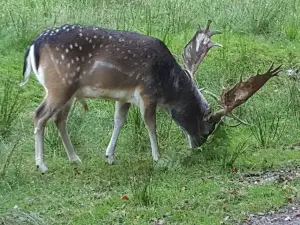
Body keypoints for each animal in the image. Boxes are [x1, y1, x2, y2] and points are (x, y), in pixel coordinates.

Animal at [19, 20, 280, 173]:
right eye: (208, 129)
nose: (197, 145)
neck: (169, 86)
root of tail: (34, 45)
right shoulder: (147, 92)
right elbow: (150, 125)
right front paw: (157, 158)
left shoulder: (123, 97)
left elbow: (119, 121)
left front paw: (109, 156)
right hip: (59, 85)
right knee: (39, 115)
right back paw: (42, 165)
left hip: (69, 92)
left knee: (58, 119)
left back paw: (75, 158)